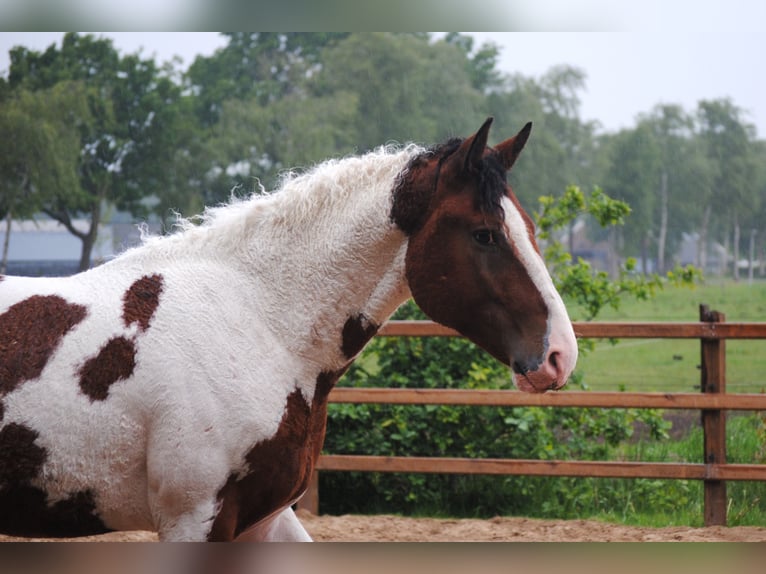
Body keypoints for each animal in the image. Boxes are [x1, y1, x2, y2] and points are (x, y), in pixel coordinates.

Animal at [0, 118, 577, 541]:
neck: (259, 325)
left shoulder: (264, 520)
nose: (560, 356)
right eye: (484, 234)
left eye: (526, 227)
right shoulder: (192, 522)